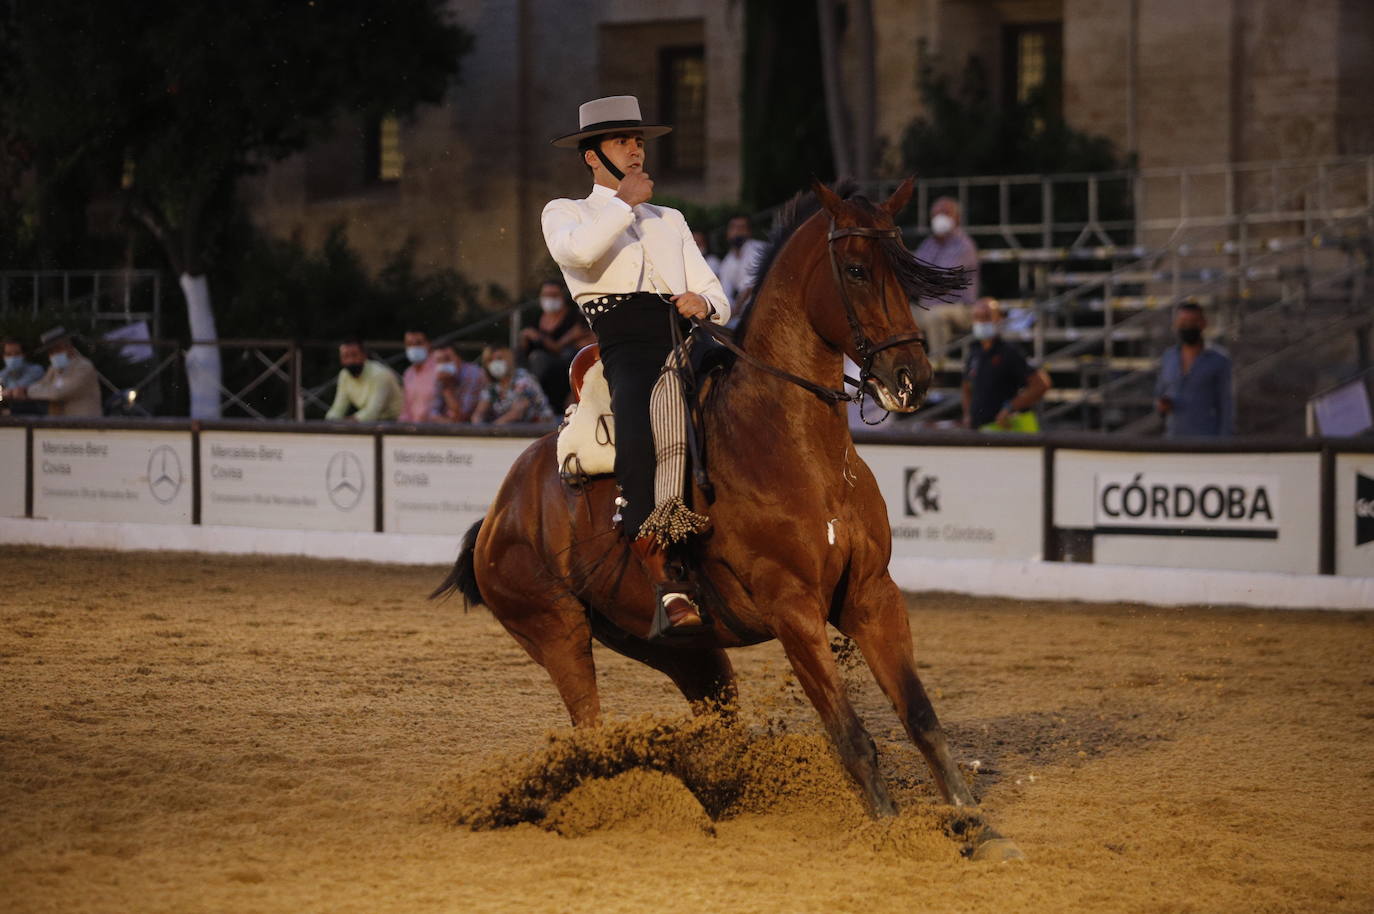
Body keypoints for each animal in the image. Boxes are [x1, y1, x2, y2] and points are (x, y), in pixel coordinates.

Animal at [436, 180, 1022, 863]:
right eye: (854, 269)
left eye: (904, 269)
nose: (911, 380)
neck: (791, 446)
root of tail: (498, 513)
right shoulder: (793, 609)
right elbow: (850, 734)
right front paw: (891, 830)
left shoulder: (872, 594)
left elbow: (922, 716)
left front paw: (980, 828)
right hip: (558, 634)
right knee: (587, 733)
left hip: (685, 651)